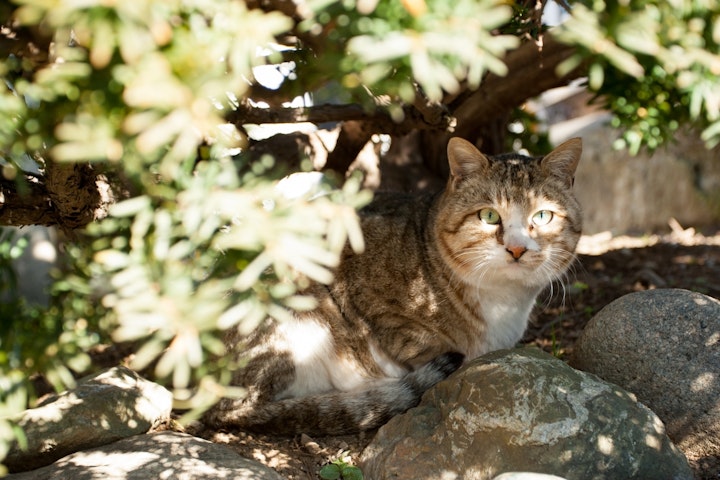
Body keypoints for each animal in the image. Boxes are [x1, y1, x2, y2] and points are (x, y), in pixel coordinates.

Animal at [200, 137, 584, 436]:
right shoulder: (370, 294)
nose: (517, 249)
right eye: (489, 216)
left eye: (542, 217)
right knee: (243, 410)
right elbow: (418, 341)